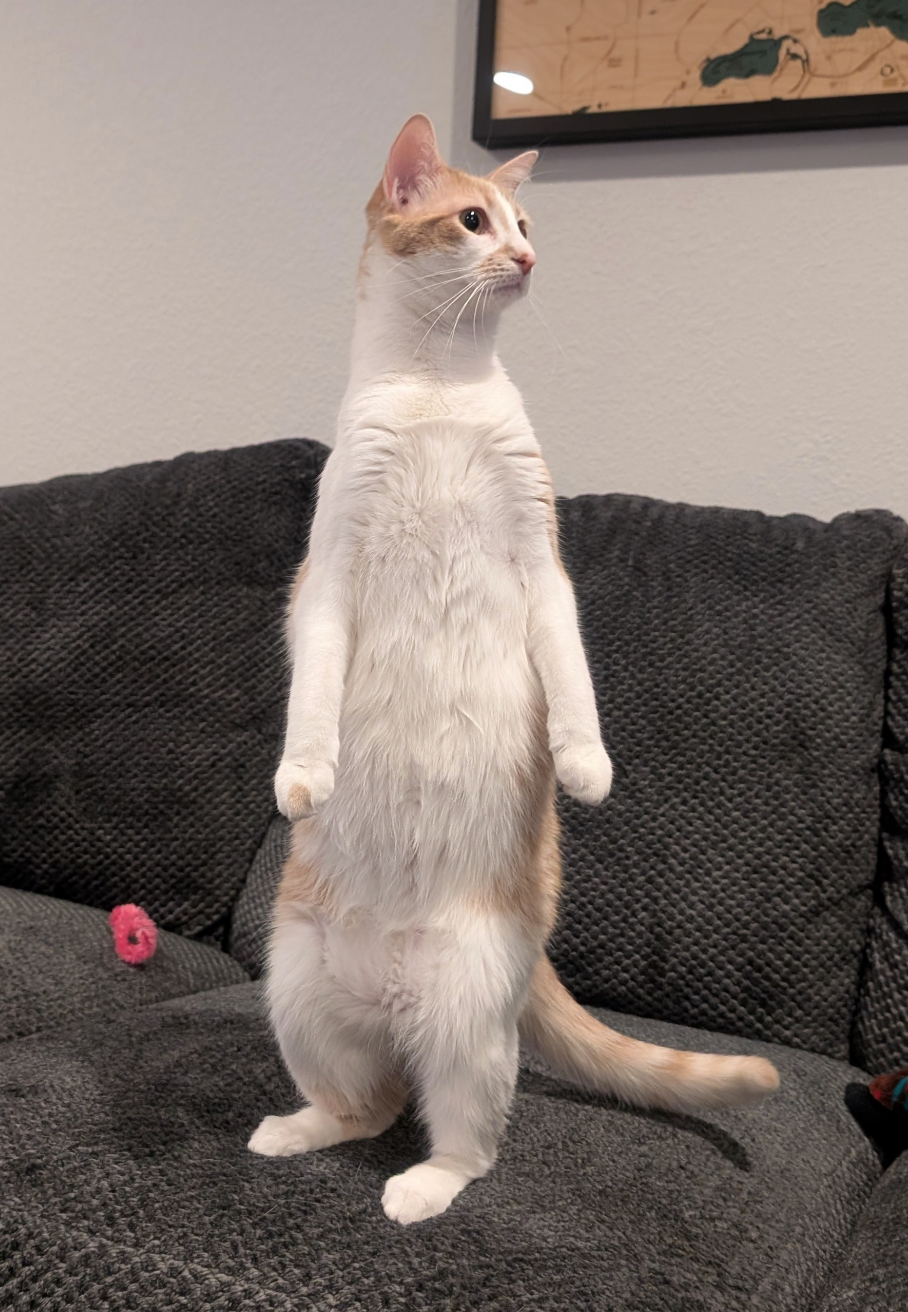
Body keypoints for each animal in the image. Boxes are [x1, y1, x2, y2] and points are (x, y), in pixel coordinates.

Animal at [248, 114, 779, 1225]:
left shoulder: (543, 563)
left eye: (525, 224)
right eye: (471, 220)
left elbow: (572, 676)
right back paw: (294, 1130)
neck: (440, 391)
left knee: (463, 1140)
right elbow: (309, 695)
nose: (530, 259)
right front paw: (302, 774)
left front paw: (585, 765)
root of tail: (394, 997)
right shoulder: (325, 575)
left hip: (468, 1029)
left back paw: (417, 1191)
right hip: (298, 992)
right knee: (362, 1103)